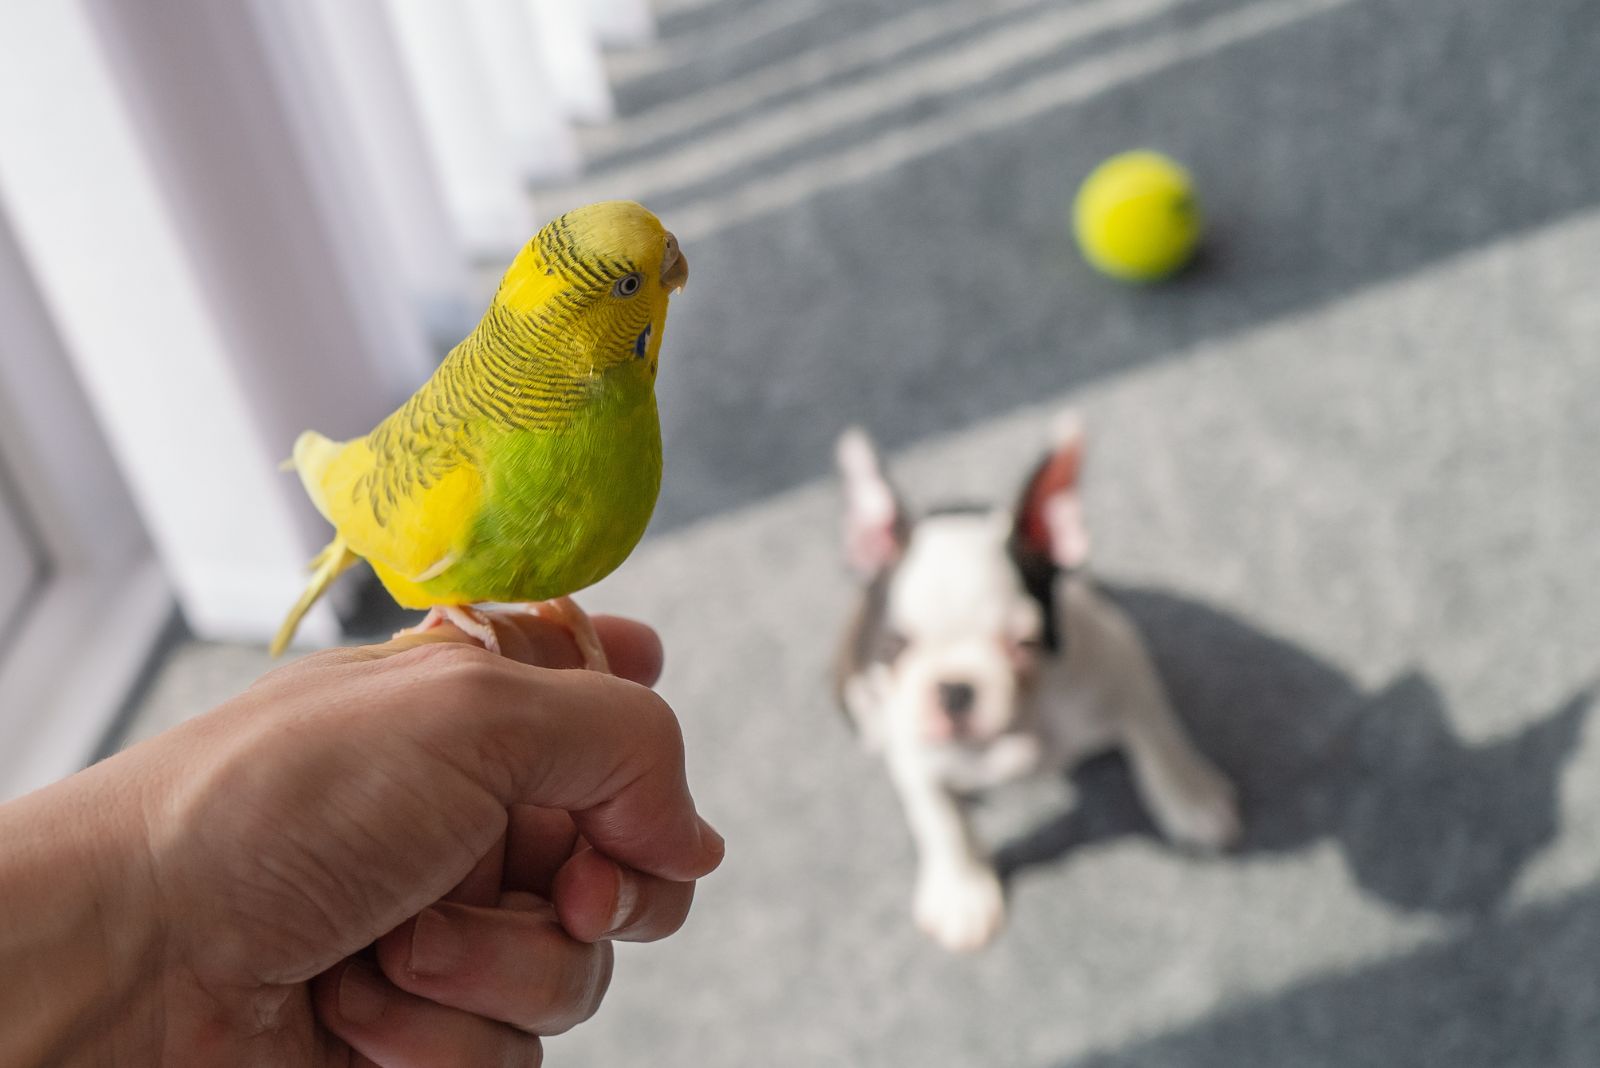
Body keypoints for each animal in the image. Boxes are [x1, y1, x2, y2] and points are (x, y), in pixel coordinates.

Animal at [832, 415, 1241, 952]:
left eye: (1022, 643)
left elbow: (1158, 736)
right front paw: (962, 894)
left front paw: (1193, 801)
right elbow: (940, 820)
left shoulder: (1121, 662)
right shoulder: (916, 756)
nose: (955, 688)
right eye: (893, 647)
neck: (1016, 725)